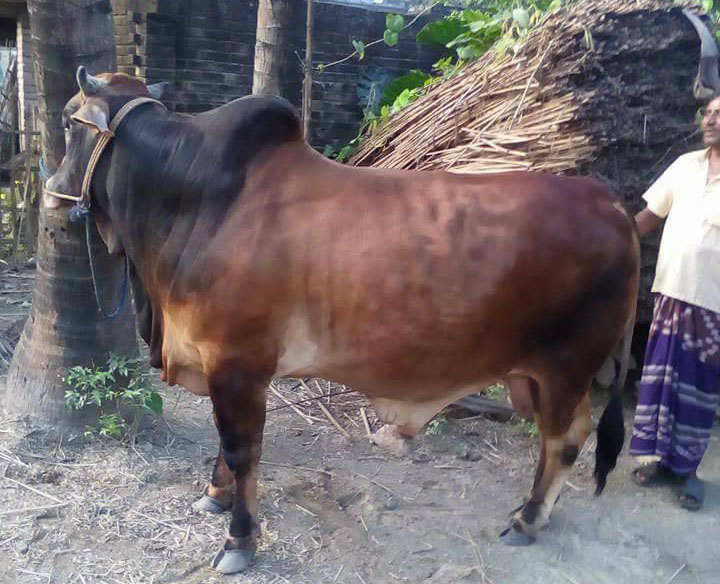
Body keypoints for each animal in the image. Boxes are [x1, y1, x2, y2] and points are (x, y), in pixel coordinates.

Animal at [45, 67, 639, 574]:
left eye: (68, 122)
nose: (51, 191)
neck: (196, 201)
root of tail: (613, 206)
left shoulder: (237, 363)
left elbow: (242, 450)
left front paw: (239, 539)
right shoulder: (222, 367)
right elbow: (226, 445)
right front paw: (214, 496)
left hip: (564, 367)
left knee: (565, 440)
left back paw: (527, 519)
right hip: (536, 376)